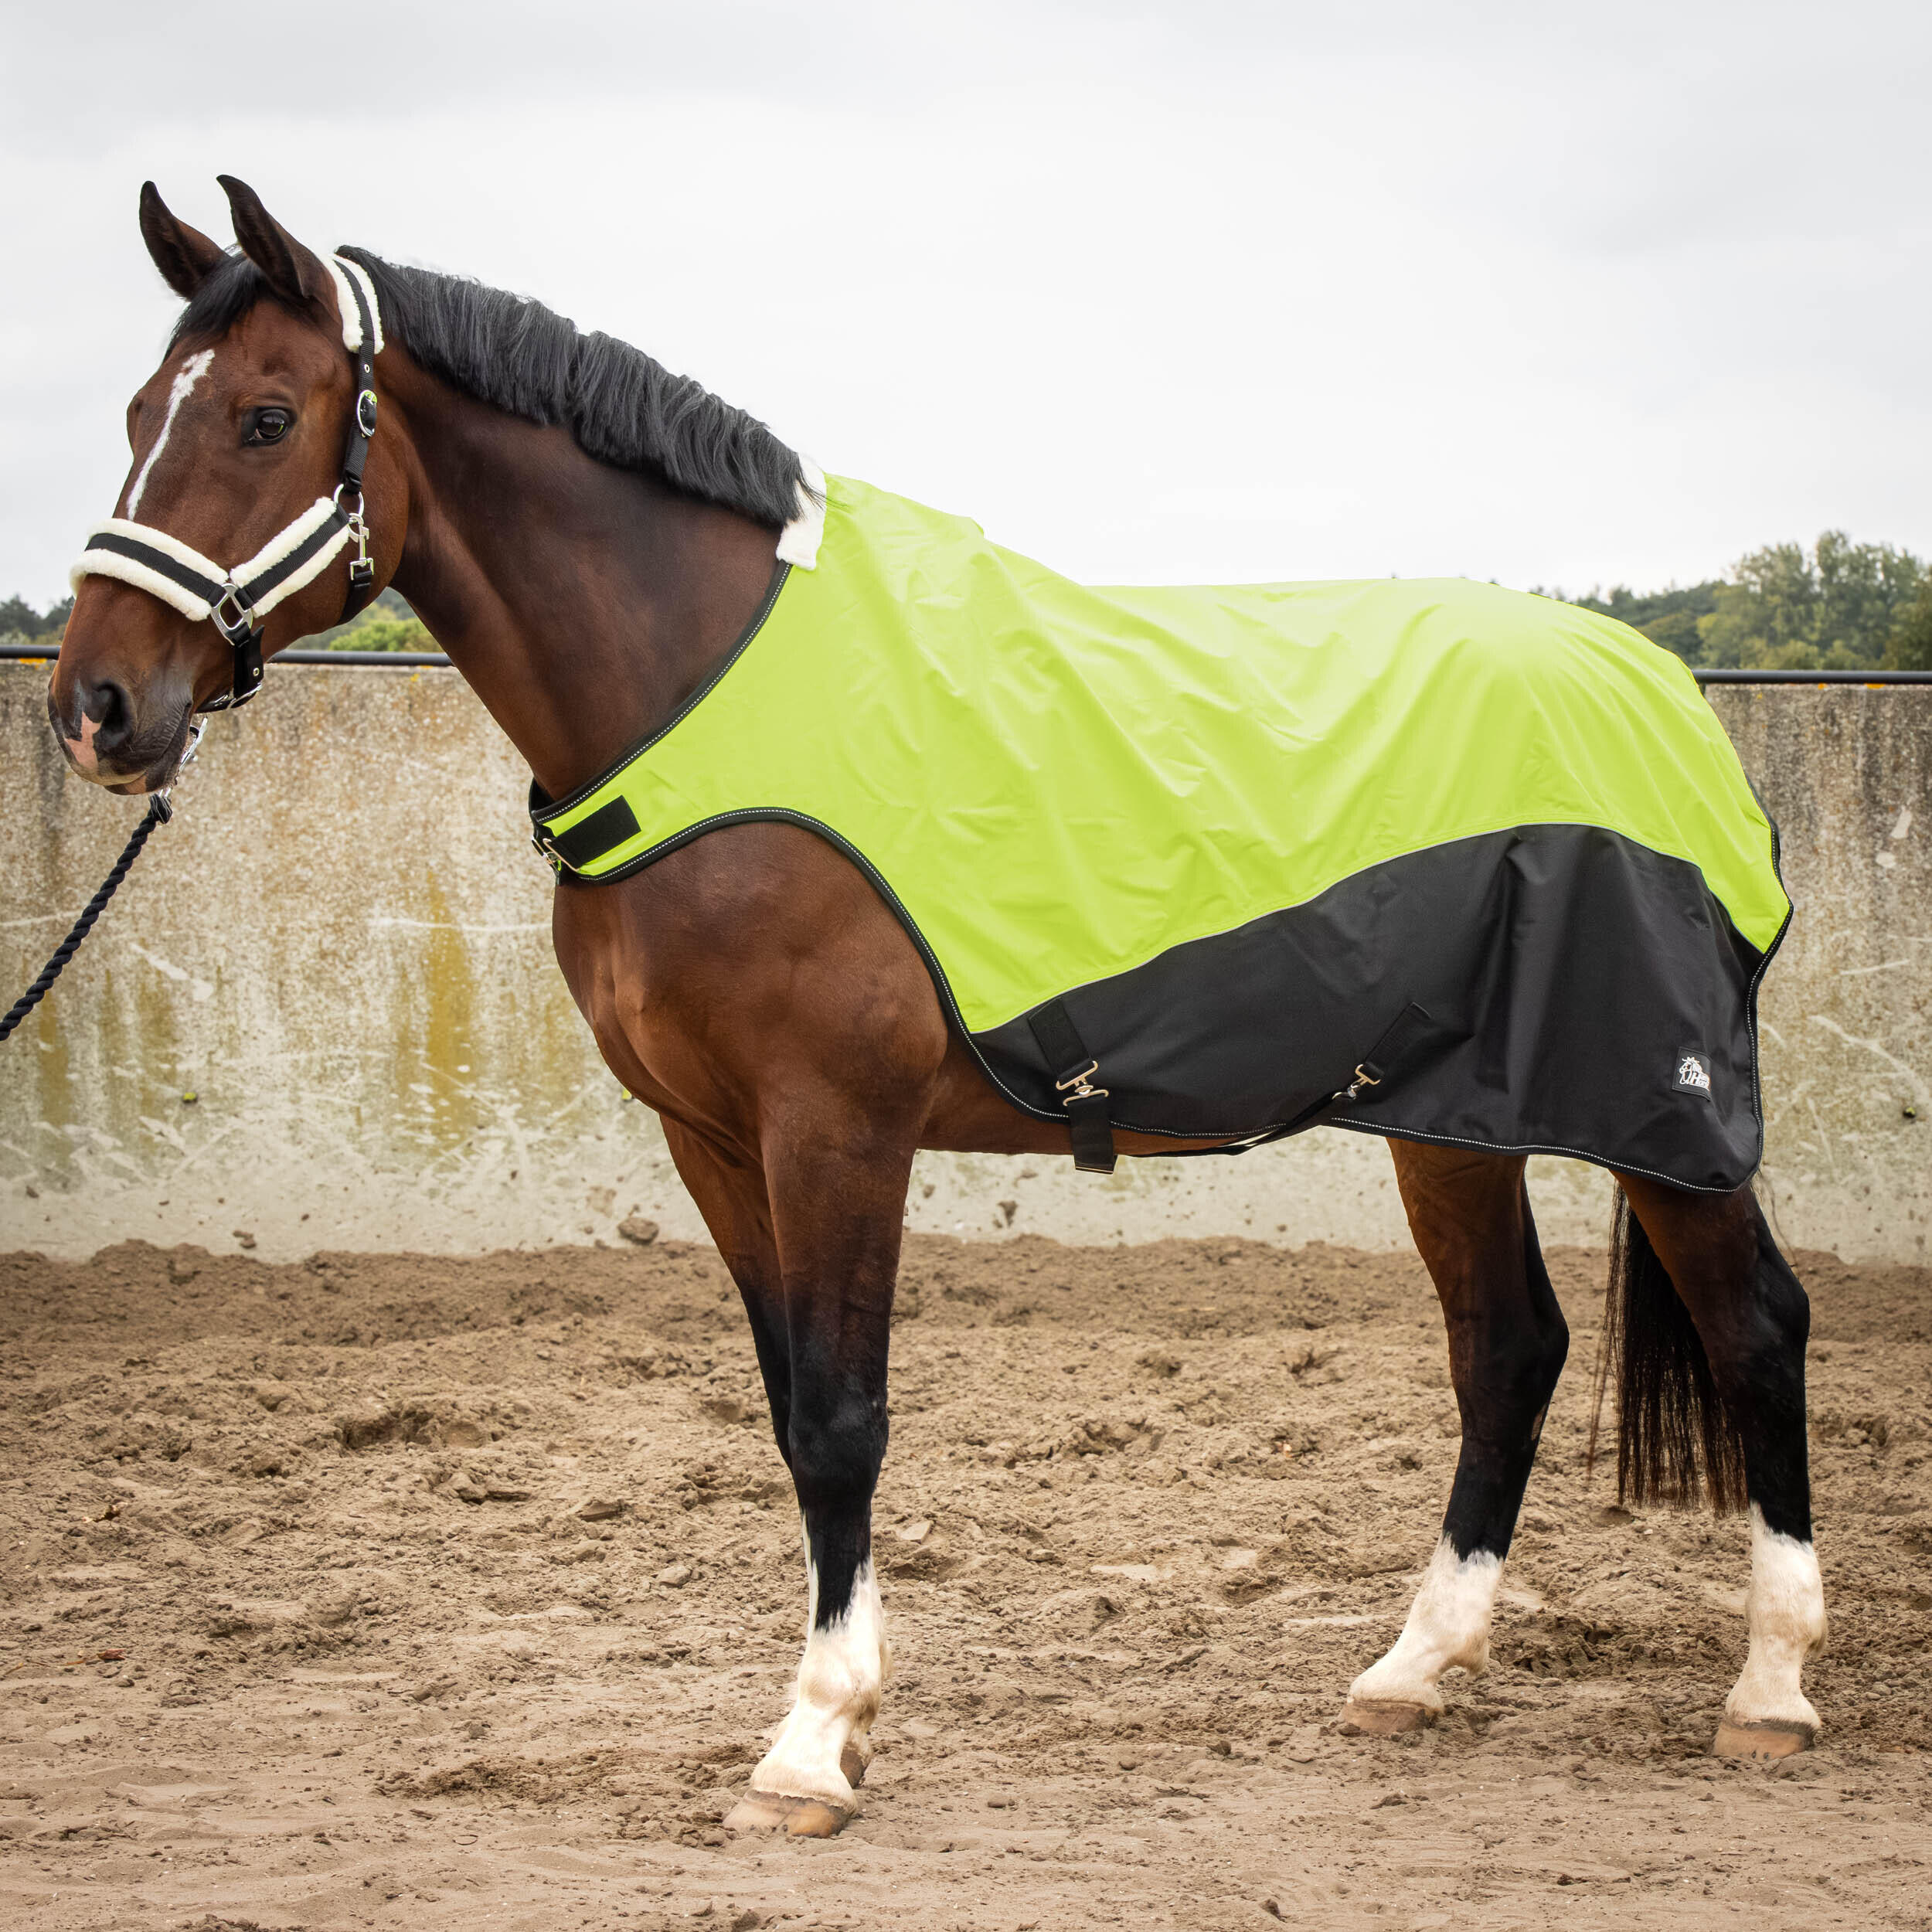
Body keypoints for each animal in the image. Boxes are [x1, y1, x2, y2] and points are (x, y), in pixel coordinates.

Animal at [43, 177, 1826, 1836]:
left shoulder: (837, 1128)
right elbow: (786, 1414)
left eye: (265, 417)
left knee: (1753, 1327)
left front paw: (811, 1744)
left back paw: (1770, 1693)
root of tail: (1667, 697)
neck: (704, 696)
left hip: (1661, 1117)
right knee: (1507, 1346)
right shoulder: (713, 1143)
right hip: (1448, 1112)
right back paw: (1412, 1666)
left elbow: (844, 1420)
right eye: (136, 415)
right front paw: (830, 1721)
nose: (97, 709)